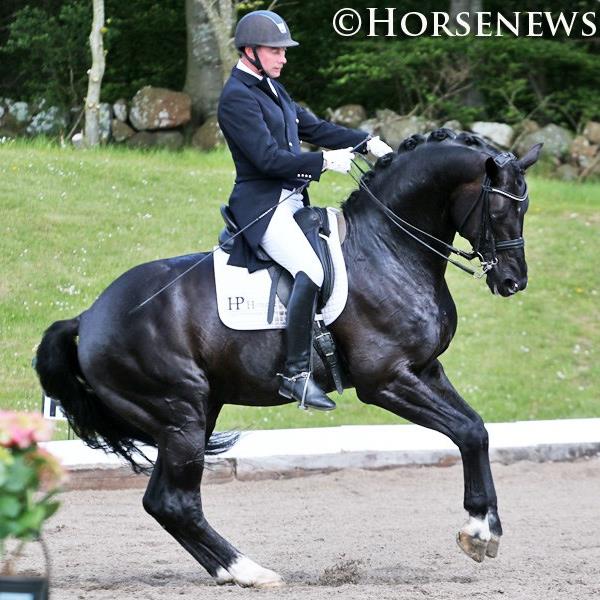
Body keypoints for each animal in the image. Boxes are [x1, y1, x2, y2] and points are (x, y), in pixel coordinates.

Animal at [36, 130, 544, 584]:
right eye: (500, 208)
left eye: (525, 207)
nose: (513, 281)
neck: (388, 247)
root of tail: (88, 317)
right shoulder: (386, 381)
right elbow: (464, 430)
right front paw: (478, 532)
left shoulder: (425, 370)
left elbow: (475, 430)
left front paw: (484, 529)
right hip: (181, 416)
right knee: (176, 501)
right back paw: (251, 572)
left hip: (193, 413)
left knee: (162, 501)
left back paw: (234, 571)